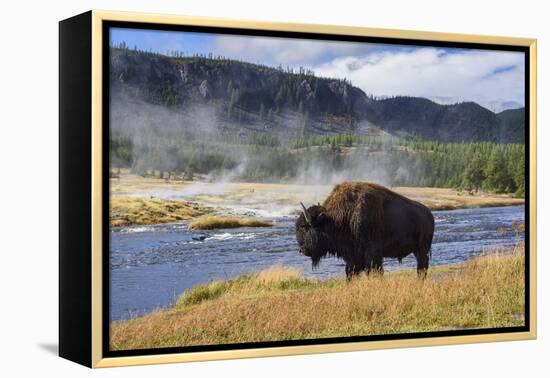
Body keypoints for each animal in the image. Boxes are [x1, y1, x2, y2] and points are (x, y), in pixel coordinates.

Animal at [298, 182, 436, 280]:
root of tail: (429, 214)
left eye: (304, 227)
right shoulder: (353, 257)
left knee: (422, 266)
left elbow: (375, 271)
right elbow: (350, 272)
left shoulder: (372, 253)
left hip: (422, 249)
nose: (301, 250)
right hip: (417, 249)